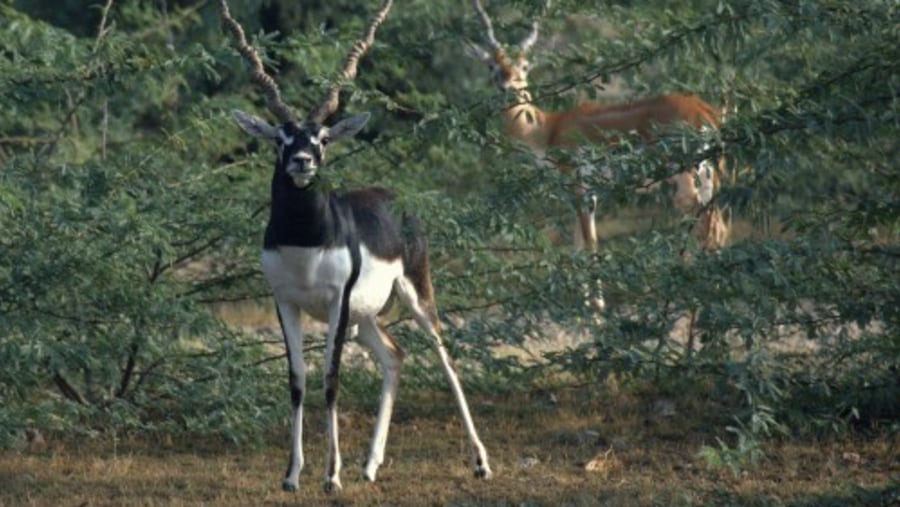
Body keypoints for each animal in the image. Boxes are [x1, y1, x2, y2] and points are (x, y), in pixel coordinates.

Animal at [217, 0, 492, 492]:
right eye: (281, 138)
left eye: (323, 138)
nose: (302, 162)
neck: (305, 243)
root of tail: (394, 198)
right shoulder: (285, 301)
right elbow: (297, 380)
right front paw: (292, 476)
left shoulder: (336, 301)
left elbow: (330, 378)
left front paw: (331, 476)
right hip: (366, 318)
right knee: (395, 356)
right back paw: (370, 465)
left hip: (414, 293)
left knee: (445, 357)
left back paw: (480, 462)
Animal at [468, 0, 728, 253]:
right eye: (491, 66)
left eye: (523, 66)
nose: (506, 86)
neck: (547, 128)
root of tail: (705, 111)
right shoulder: (588, 191)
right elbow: (580, 242)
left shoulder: (577, 183)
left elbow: (589, 243)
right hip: (707, 174)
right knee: (717, 227)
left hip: (684, 172)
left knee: (695, 214)